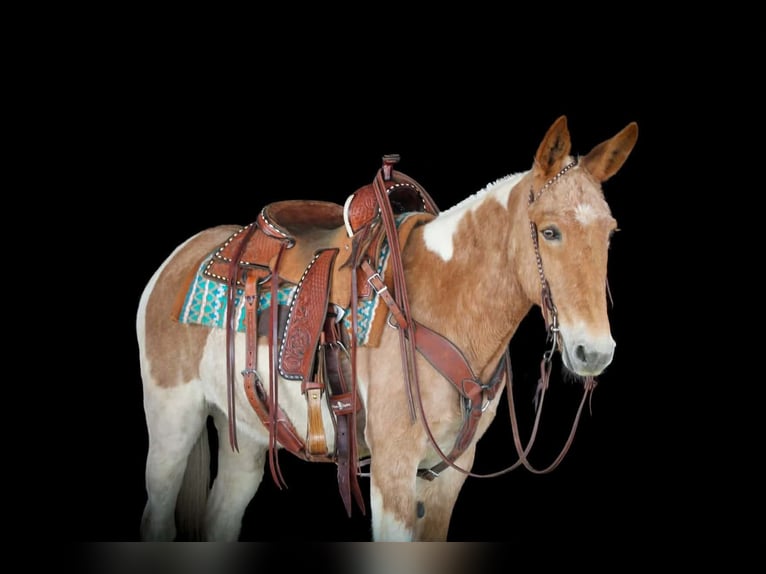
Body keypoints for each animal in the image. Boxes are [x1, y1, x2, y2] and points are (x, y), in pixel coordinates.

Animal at [136, 115, 638, 541]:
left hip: (245, 434)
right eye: (549, 231)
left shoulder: (447, 475)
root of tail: (179, 258)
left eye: (610, 233)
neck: (443, 304)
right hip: (171, 424)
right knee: (157, 518)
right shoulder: (392, 473)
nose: (594, 352)